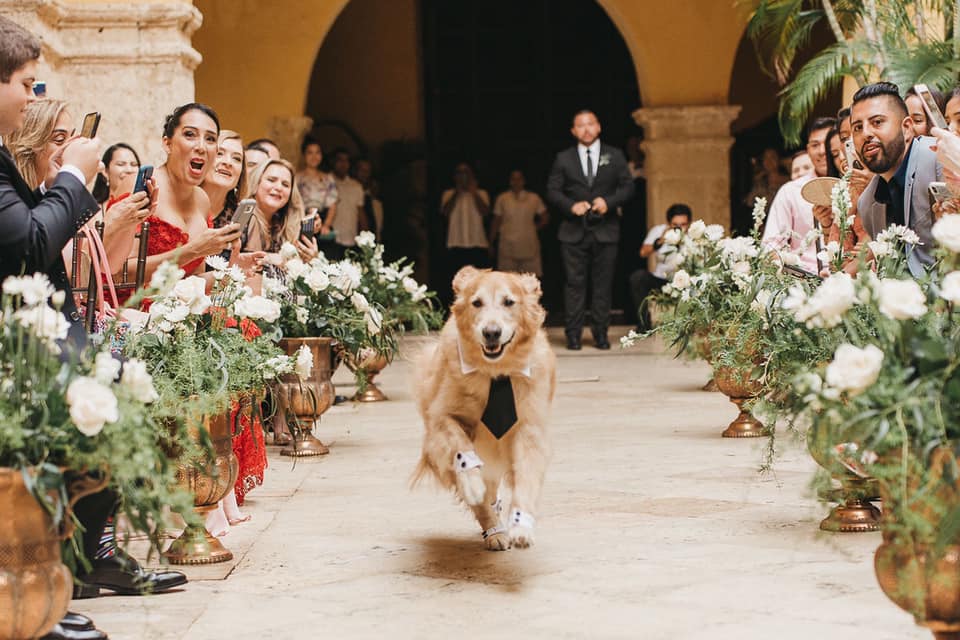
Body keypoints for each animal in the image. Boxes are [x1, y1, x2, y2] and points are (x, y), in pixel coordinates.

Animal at [410, 264, 556, 552]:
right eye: (476, 302)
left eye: (509, 302)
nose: (491, 332)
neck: (495, 372)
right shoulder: (440, 417)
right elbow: (459, 444)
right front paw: (472, 484)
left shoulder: (529, 429)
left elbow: (527, 478)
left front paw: (521, 526)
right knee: (483, 498)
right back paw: (494, 530)